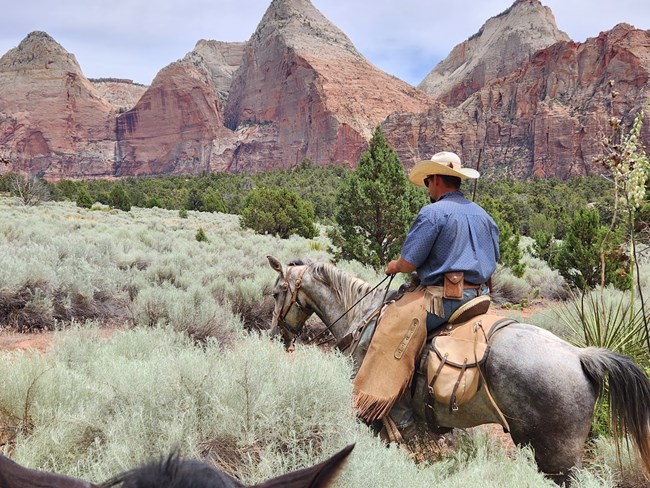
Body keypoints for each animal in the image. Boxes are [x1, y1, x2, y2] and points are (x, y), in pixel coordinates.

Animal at [268, 258, 648, 482]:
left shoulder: (378, 417)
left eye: (276, 292)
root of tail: (581, 355)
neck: (362, 319)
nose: (275, 335)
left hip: (557, 459)